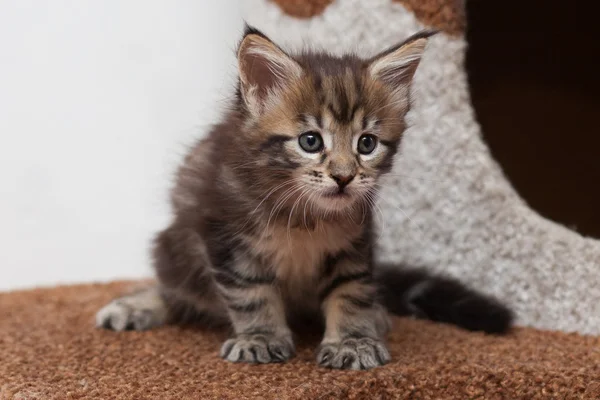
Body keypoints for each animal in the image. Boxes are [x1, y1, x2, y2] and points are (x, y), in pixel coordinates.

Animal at [95, 26, 510, 370]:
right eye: (310, 141)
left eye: (367, 144)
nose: (343, 176)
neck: (305, 217)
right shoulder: (225, 233)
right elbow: (250, 292)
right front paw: (259, 337)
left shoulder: (355, 242)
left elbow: (352, 291)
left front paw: (353, 341)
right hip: (174, 247)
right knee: (176, 290)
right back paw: (133, 305)